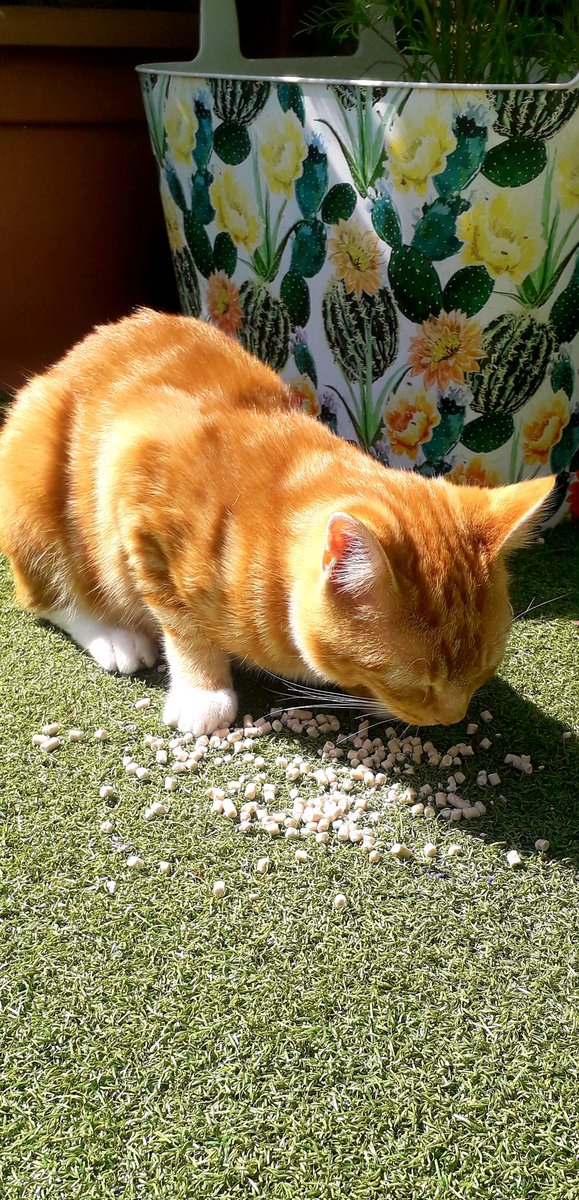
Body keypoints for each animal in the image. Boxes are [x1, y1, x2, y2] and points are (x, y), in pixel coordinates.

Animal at [0, 312, 554, 729]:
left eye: (484, 671)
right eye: (417, 684)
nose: (452, 719)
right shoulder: (137, 488)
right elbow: (182, 623)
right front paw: (203, 692)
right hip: (34, 483)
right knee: (50, 597)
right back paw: (114, 637)